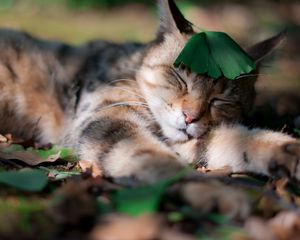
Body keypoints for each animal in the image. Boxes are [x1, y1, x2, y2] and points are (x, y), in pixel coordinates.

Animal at [0, 0, 300, 184]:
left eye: (221, 98)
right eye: (179, 77)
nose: (190, 117)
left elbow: (237, 139)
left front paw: (286, 151)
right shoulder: (107, 118)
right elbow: (148, 156)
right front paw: (202, 188)